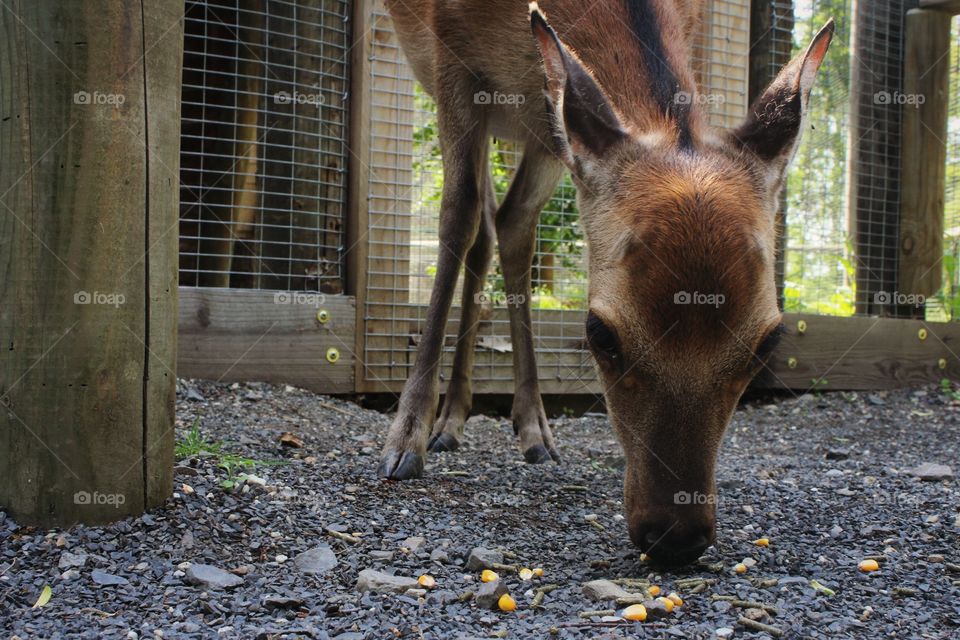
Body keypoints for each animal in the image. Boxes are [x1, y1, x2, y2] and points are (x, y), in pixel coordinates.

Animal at [377, 0, 833, 564]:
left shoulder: (551, 121)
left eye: (769, 342)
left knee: (506, 223)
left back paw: (523, 427)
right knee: (479, 222)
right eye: (599, 333)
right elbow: (455, 214)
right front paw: (404, 441)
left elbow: (511, 224)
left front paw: (527, 427)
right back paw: (446, 424)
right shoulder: (452, 57)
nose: (676, 534)